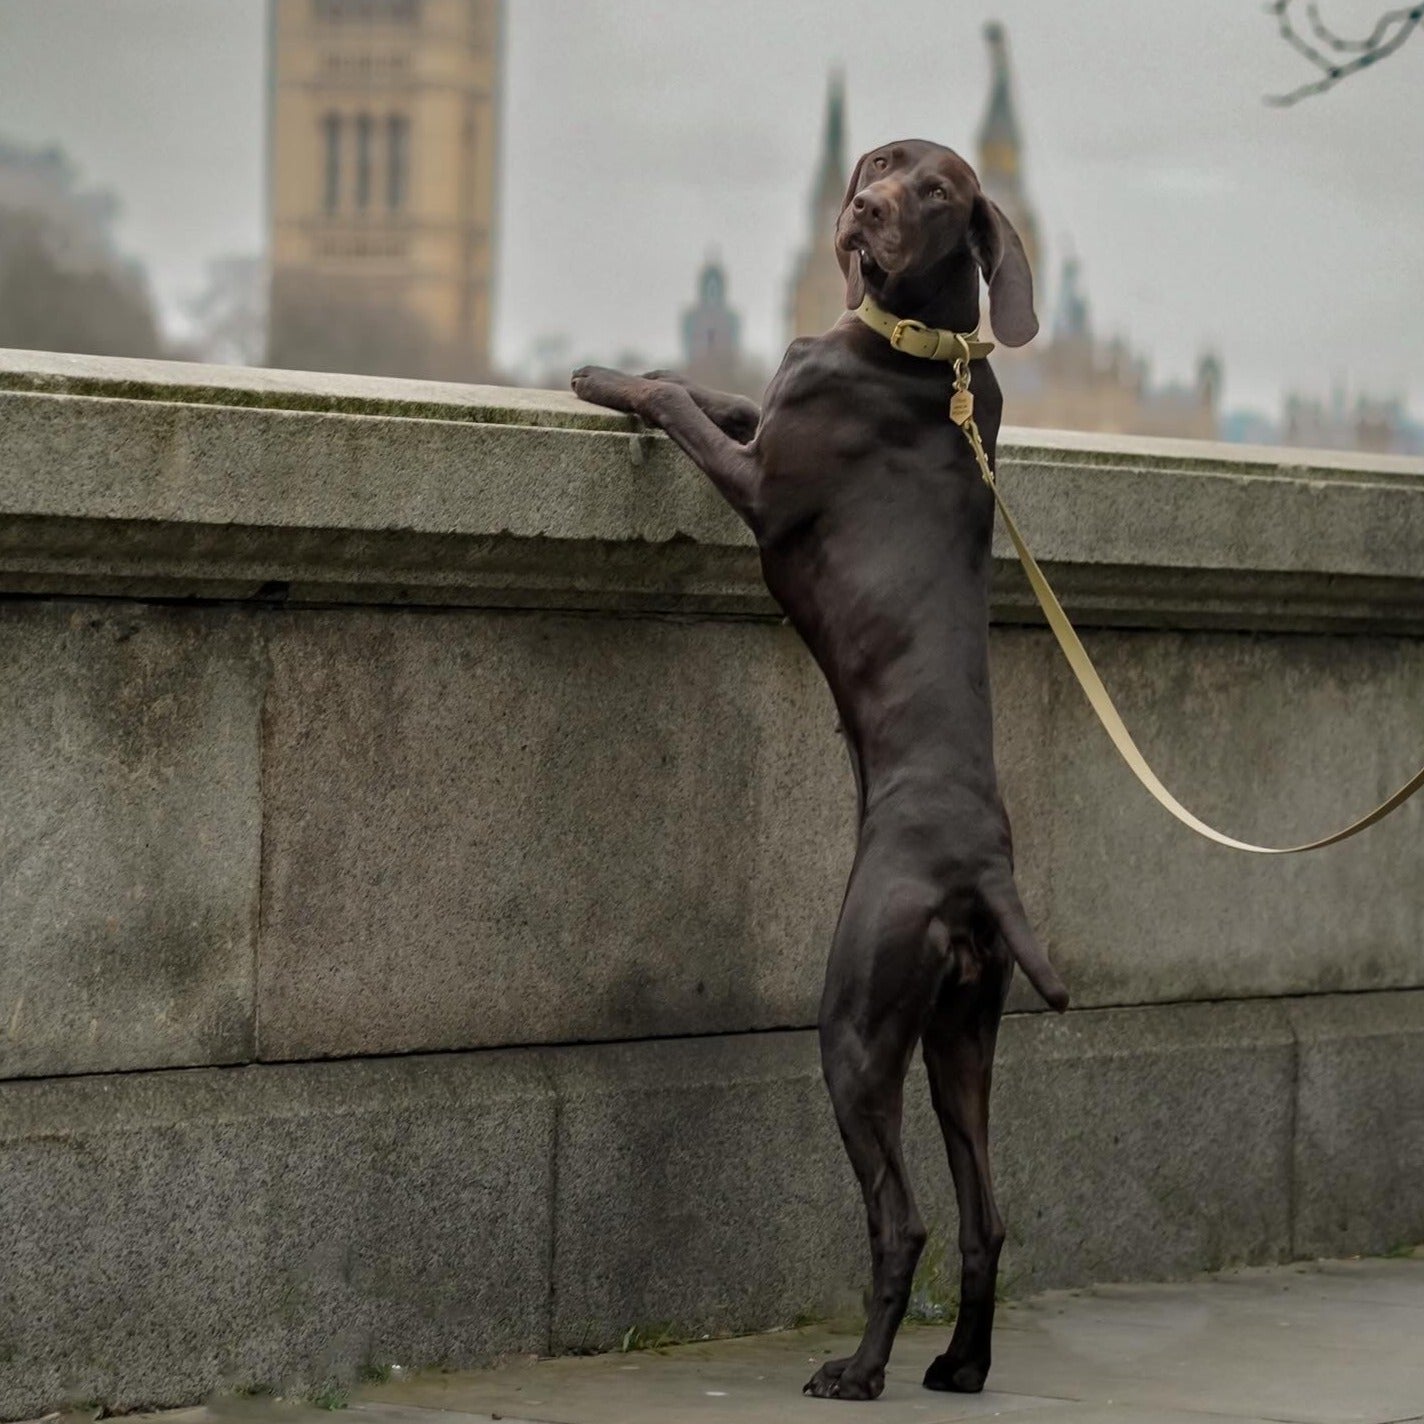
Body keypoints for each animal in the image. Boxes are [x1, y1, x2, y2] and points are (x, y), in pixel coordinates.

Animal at [569, 141, 1070, 1401]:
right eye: (882, 163)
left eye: (935, 191)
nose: (868, 209)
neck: (922, 348)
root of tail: (981, 877)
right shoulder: (774, 408)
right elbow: (717, 387)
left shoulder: (760, 482)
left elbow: (678, 404)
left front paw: (602, 375)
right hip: (959, 1034)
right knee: (985, 1216)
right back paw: (957, 1365)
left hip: (856, 1021)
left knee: (902, 1218)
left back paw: (858, 1367)